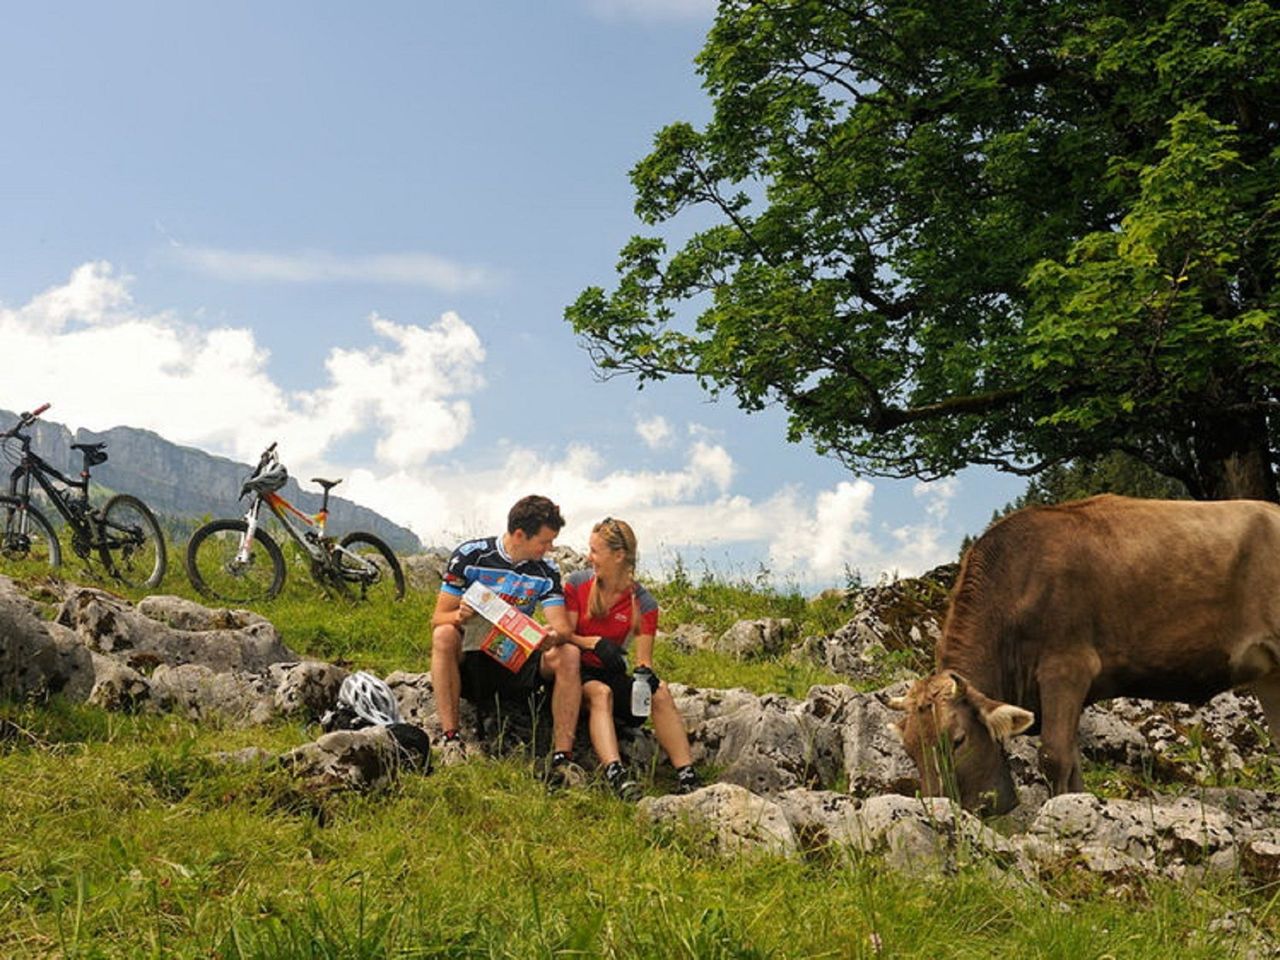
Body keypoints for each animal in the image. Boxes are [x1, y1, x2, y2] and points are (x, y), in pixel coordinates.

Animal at [890, 499, 1280, 814]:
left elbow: (1054, 757)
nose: (939, 807)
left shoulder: (1066, 668)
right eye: (908, 749)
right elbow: (1074, 761)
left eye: (958, 740)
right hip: (1269, 674)